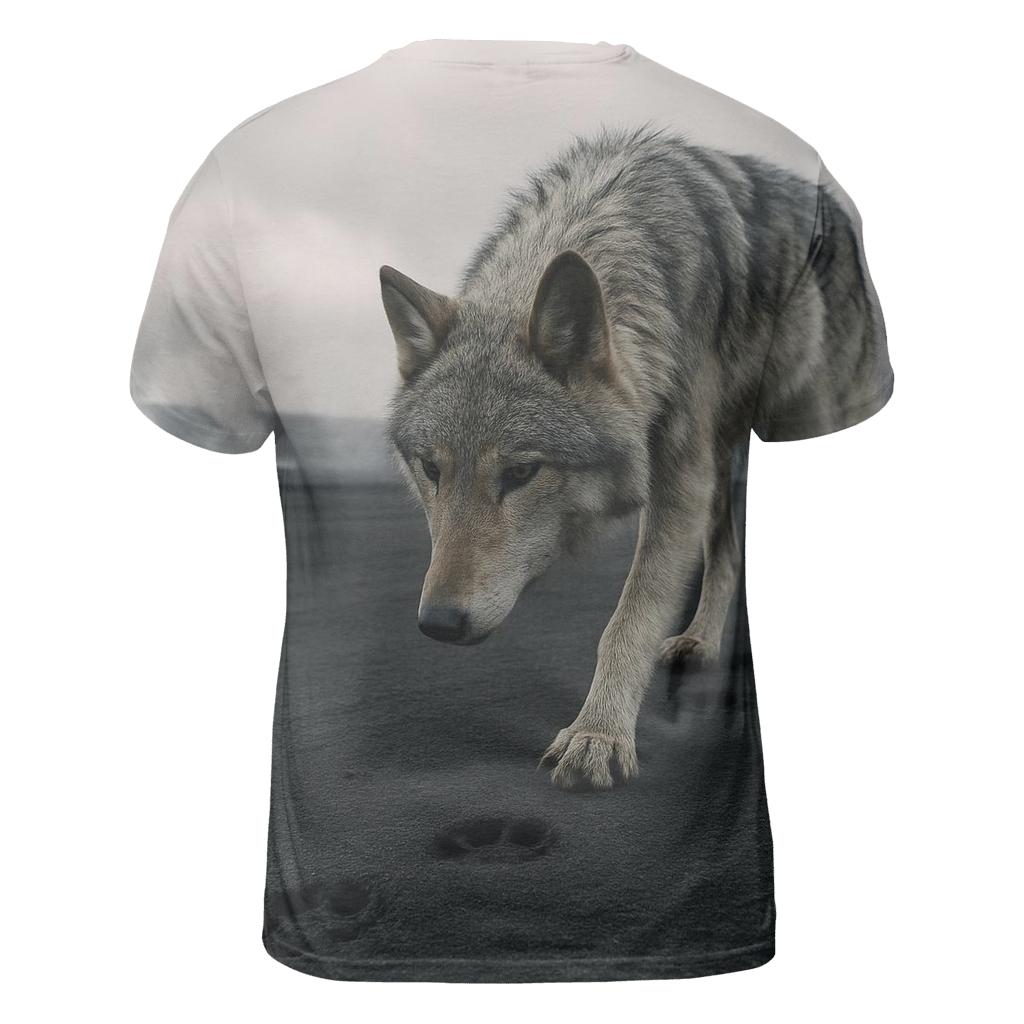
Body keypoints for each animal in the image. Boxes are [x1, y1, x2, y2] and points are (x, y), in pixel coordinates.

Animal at [378, 122, 884, 789]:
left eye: (521, 473)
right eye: (431, 470)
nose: (437, 621)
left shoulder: (680, 482)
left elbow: (629, 619)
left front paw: (598, 735)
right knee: (727, 550)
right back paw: (698, 639)